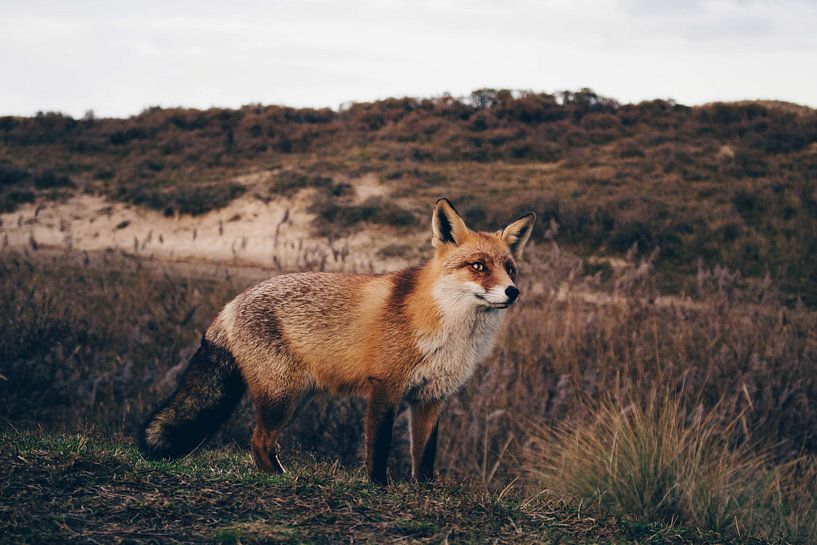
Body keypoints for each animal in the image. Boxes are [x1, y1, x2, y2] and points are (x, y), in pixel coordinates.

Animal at [137, 198, 535, 484]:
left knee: (260, 442)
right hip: (284, 397)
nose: (512, 292)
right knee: (258, 441)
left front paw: (424, 493)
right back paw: (283, 479)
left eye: (509, 268)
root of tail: (230, 303)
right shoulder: (385, 387)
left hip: (299, 396)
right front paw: (377, 489)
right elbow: (378, 448)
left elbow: (424, 458)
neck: (452, 331)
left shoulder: (431, 397)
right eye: (478, 266)